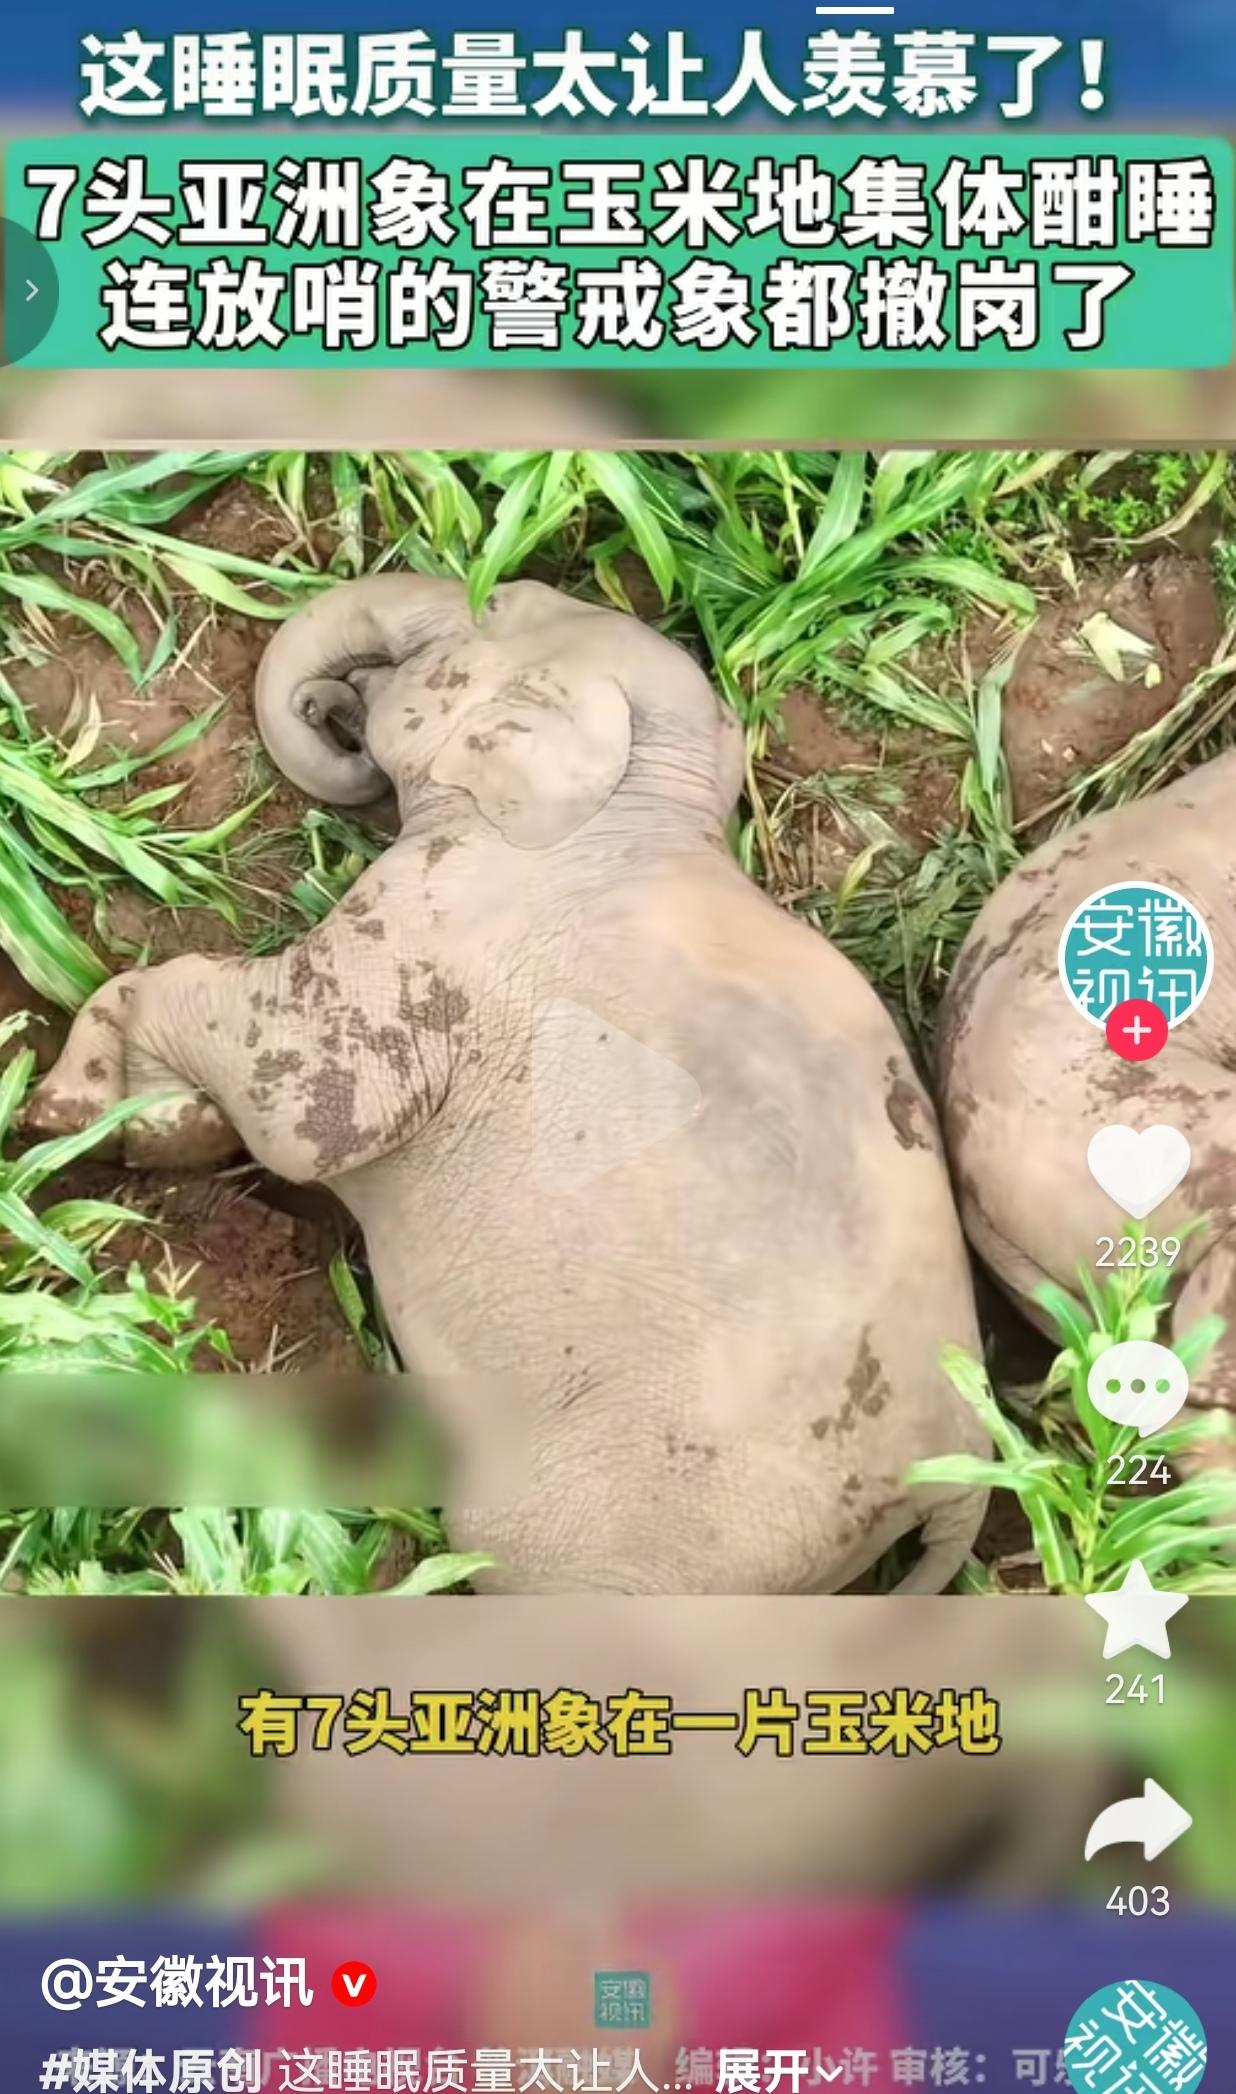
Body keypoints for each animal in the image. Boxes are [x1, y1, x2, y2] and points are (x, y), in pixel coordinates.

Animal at [28, 574, 989, 1592]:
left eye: (499, 602)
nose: (331, 705)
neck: (634, 811)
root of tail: (955, 1480)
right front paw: (163, 1122)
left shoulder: (432, 925)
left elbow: (306, 1116)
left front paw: (78, 1114)